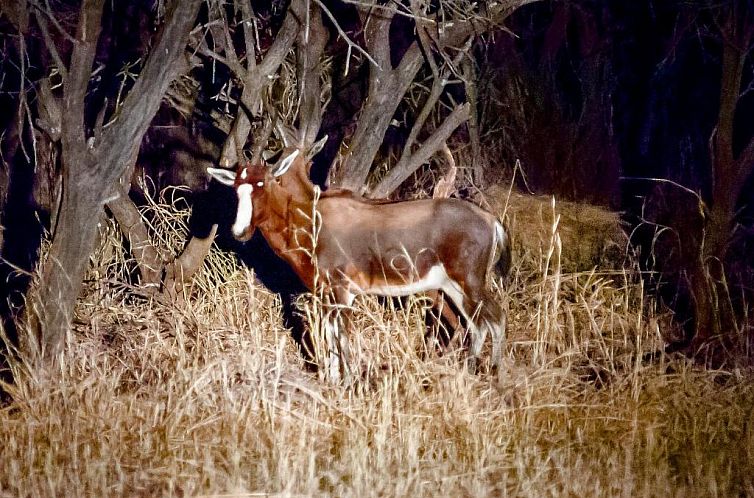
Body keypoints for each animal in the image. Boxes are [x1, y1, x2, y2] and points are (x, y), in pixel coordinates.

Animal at [209, 150, 508, 380]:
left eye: (264, 183)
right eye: (236, 187)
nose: (240, 231)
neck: (313, 219)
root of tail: (489, 220)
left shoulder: (342, 293)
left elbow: (342, 335)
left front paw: (349, 380)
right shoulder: (326, 295)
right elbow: (330, 334)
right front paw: (331, 380)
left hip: (469, 282)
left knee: (496, 317)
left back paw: (496, 373)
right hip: (453, 288)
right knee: (476, 324)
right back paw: (470, 369)